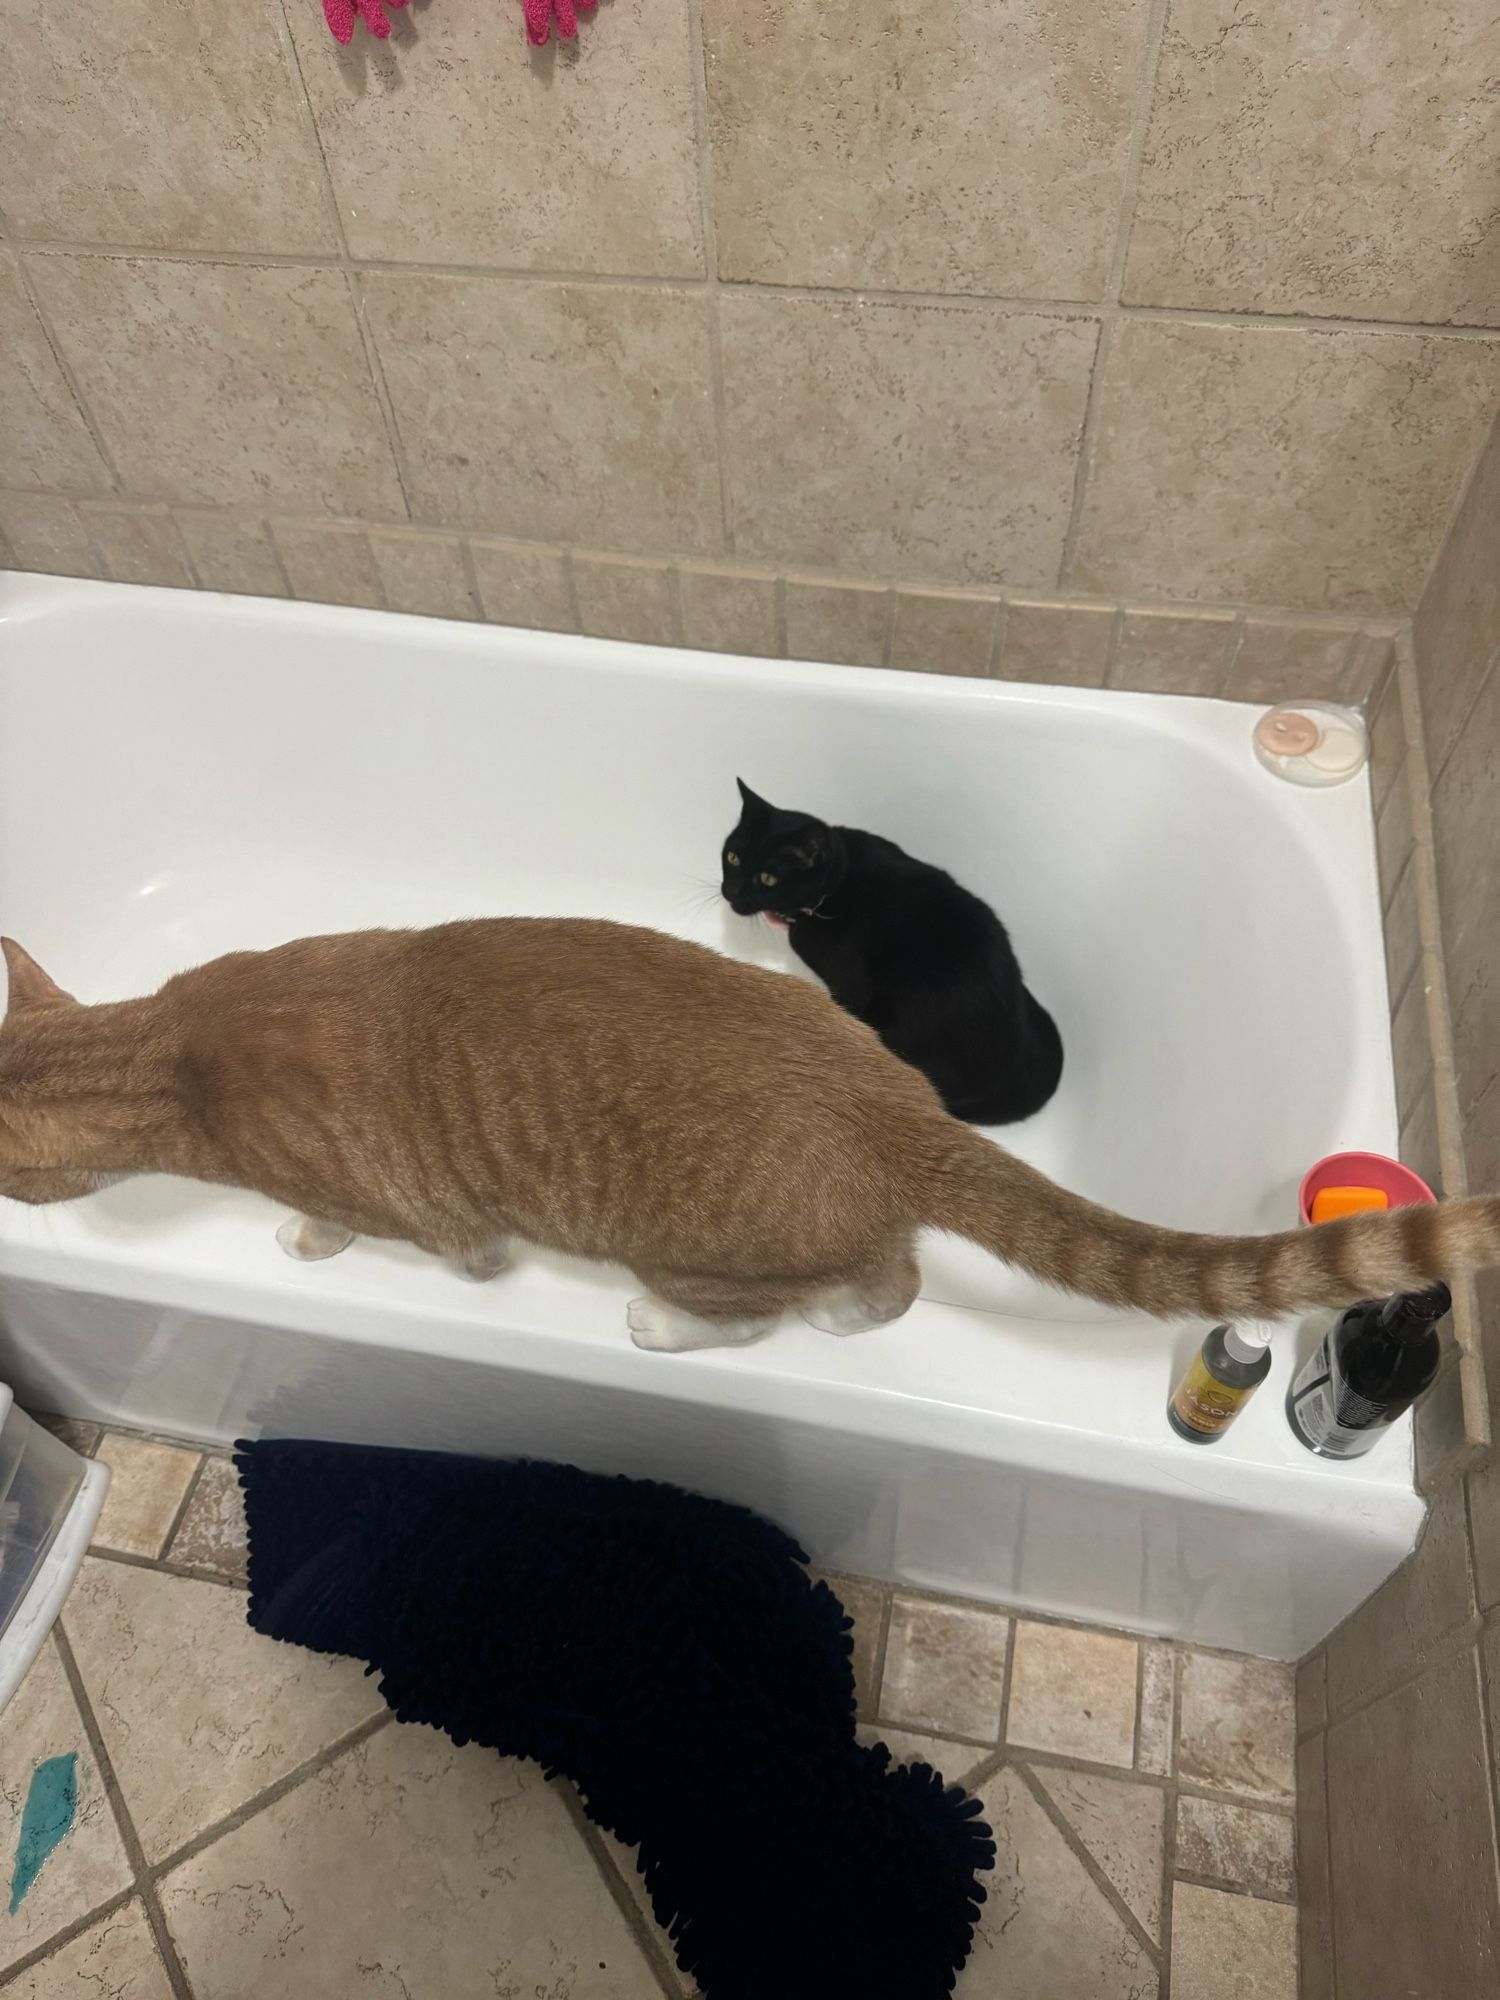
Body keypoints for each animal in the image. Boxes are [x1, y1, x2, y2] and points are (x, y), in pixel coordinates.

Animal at [2, 924, 1500, 1360]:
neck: (164, 1045)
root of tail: (890, 1102)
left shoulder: (444, 1224)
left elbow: (387, 1234)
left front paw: (303, 1235)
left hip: (700, 1253)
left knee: (841, 1291)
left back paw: (696, 1327)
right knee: (895, 1272)